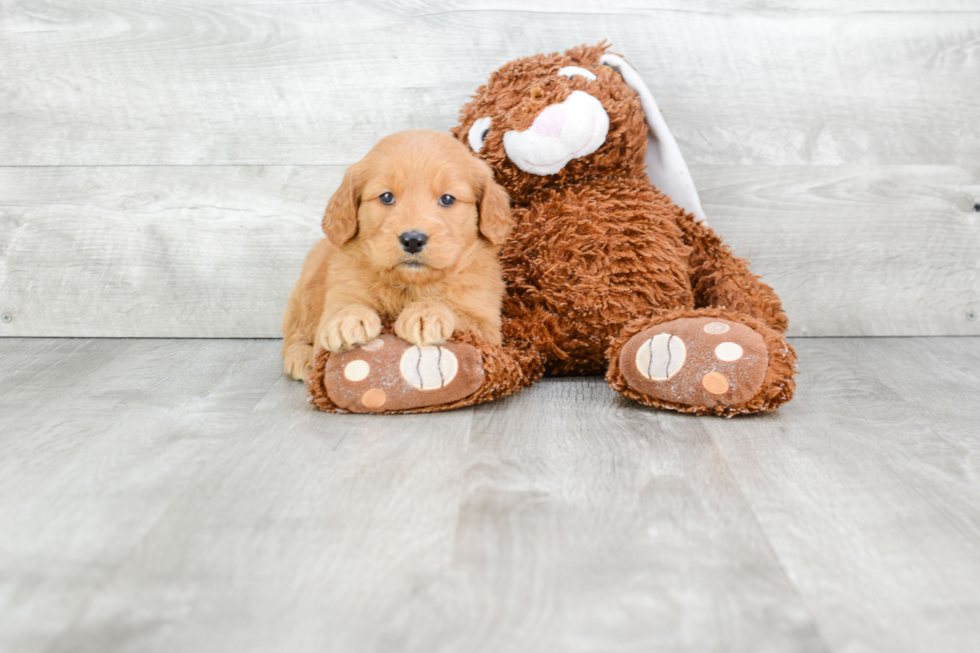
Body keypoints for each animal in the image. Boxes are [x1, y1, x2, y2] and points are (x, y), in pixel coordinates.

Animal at [282, 129, 512, 380]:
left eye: (447, 199)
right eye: (386, 197)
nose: (412, 240)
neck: (408, 285)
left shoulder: (487, 327)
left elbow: (455, 310)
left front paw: (425, 314)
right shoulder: (340, 294)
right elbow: (343, 309)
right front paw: (347, 319)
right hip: (310, 276)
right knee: (294, 329)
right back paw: (301, 357)